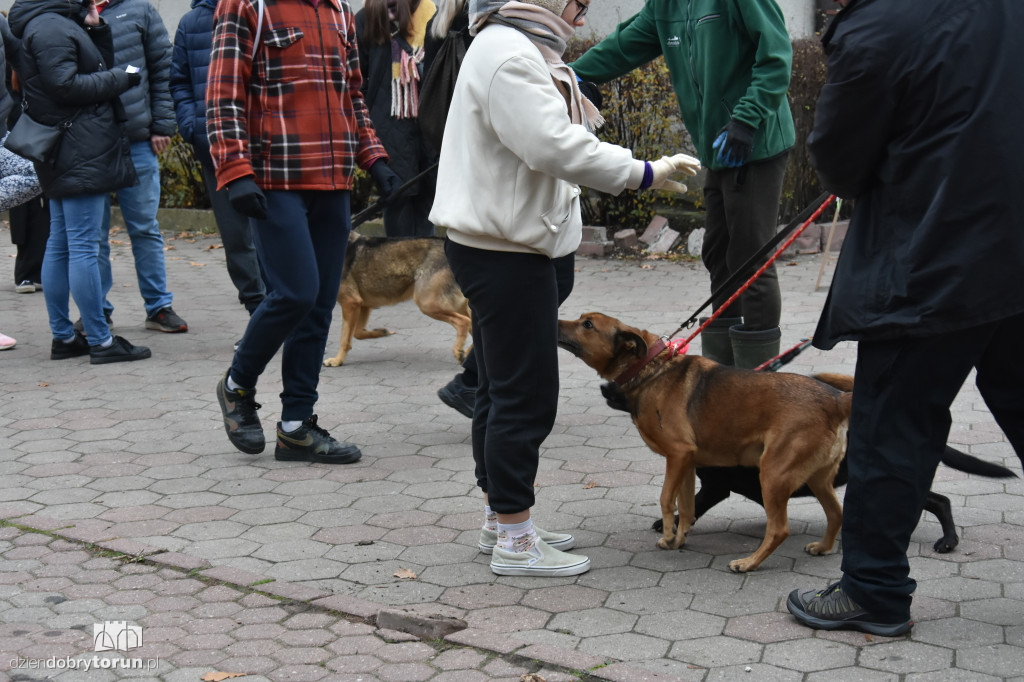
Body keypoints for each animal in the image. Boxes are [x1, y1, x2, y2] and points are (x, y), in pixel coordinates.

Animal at [323, 232, 471, 366]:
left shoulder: (350, 303)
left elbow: (345, 339)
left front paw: (337, 361)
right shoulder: (363, 305)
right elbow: (358, 333)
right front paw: (381, 332)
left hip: (428, 304)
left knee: (464, 322)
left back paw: (459, 352)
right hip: (455, 306)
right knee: (471, 326)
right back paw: (466, 355)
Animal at [557, 311, 851, 569]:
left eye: (588, 324)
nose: (555, 320)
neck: (652, 368)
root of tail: (836, 400)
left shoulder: (678, 455)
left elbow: (666, 499)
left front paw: (667, 535)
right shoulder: (686, 463)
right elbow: (687, 508)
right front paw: (677, 540)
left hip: (773, 474)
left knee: (779, 529)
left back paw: (750, 563)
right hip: (817, 479)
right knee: (836, 513)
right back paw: (824, 547)